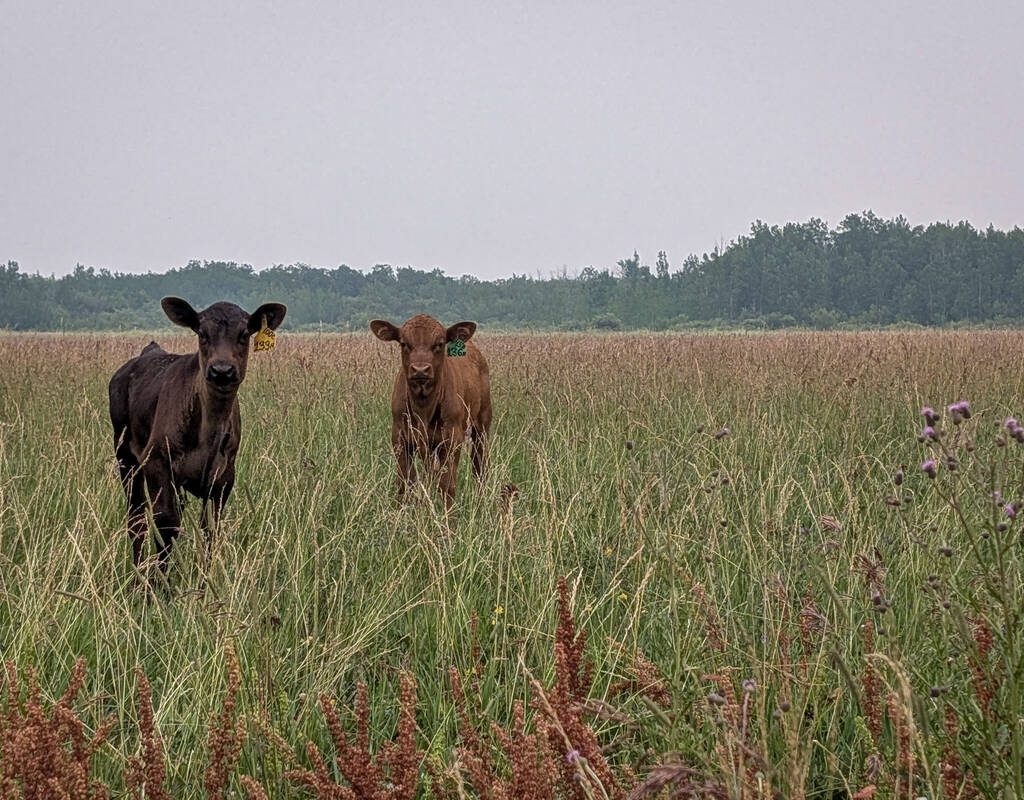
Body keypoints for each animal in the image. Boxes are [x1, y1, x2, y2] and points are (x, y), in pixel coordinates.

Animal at [108, 296, 286, 574]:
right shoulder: (156, 461)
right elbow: (166, 524)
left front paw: (204, 580)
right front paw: (159, 582)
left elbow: (210, 529)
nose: (222, 370)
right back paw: (138, 576)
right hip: (125, 456)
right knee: (136, 519)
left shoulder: (224, 476)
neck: (207, 433)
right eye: (202, 333)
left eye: (244, 334)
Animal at [370, 314, 491, 508]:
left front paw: (448, 516)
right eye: (404, 343)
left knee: (479, 465)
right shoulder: (399, 437)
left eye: (439, 344)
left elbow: (447, 485)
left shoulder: (452, 438)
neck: (423, 408)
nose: (420, 369)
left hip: (482, 424)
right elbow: (405, 483)